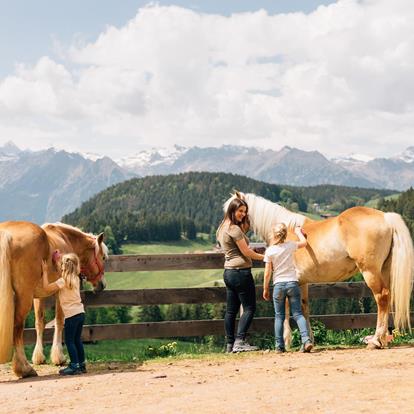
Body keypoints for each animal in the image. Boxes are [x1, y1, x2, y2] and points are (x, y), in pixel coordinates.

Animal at [0, 222, 108, 376]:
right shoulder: (58, 292)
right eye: (103, 257)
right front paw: (58, 357)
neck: (64, 237)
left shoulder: (38, 296)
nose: (102, 284)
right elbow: (59, 320)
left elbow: (39, 322)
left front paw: (39, 357)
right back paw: (24, 368)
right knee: (18, 327)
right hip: (24, 296)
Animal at [225, 192, 414, 348]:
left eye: (236, 210)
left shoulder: (286, 282)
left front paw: (286, 342)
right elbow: (304, 309)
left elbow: (285, 311)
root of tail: (386, 217)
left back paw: (375, 341)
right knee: (388, 297)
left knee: (382, 297)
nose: (225, 230)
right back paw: (383, 340)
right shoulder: (301, 282)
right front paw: (309, 341)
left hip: (370, 272)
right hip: (384, 270)